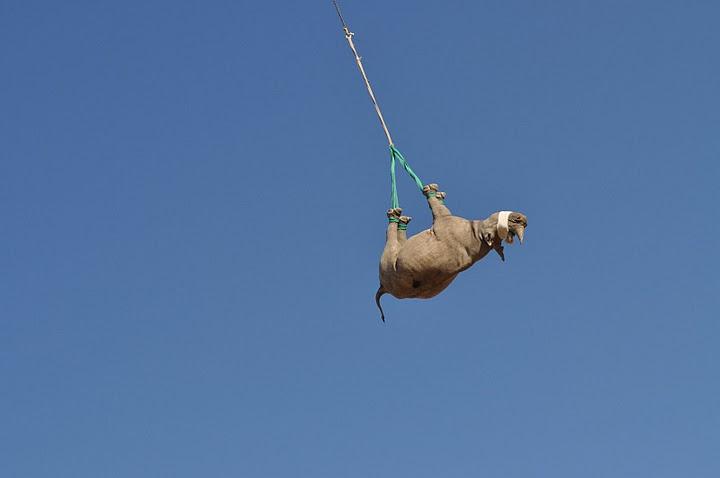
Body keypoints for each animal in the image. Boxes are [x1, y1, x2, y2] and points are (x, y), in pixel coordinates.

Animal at [376, 183, 528, 322]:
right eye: (507, 229)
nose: (521, 219)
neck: (478, 234)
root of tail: (383, 288)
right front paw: (438, 194)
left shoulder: (444, 219)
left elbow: (438, 208)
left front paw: (431, 191)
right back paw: (402, 219)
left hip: (388, 269)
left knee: (392, 244)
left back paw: (395, 216)